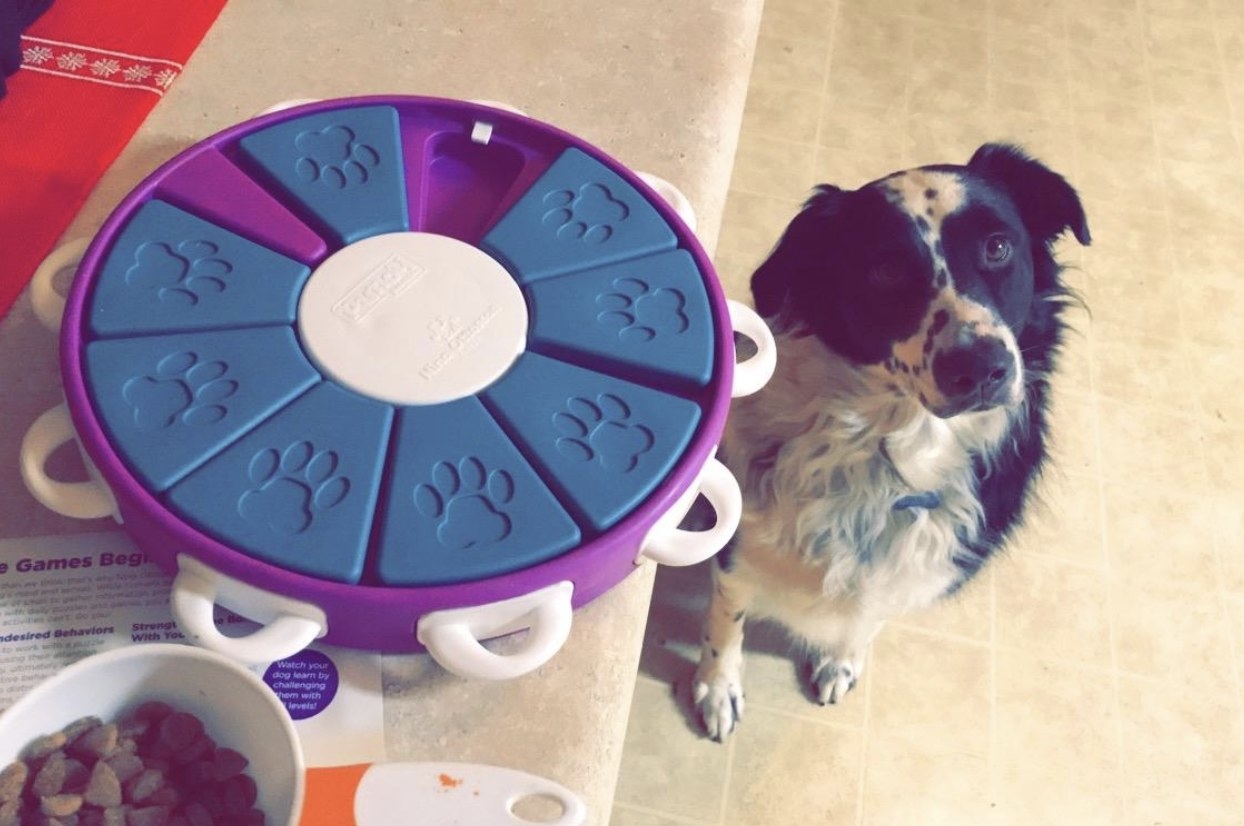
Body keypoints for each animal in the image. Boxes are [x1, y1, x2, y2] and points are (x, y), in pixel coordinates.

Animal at [696, 143, 1094, 741]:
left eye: (998, 247)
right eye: (884, 271)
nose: (981, 368)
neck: (888, 455)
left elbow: (867, 619)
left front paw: (841, 659)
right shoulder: (739, 546)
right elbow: (727, 618)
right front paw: (718, 689)